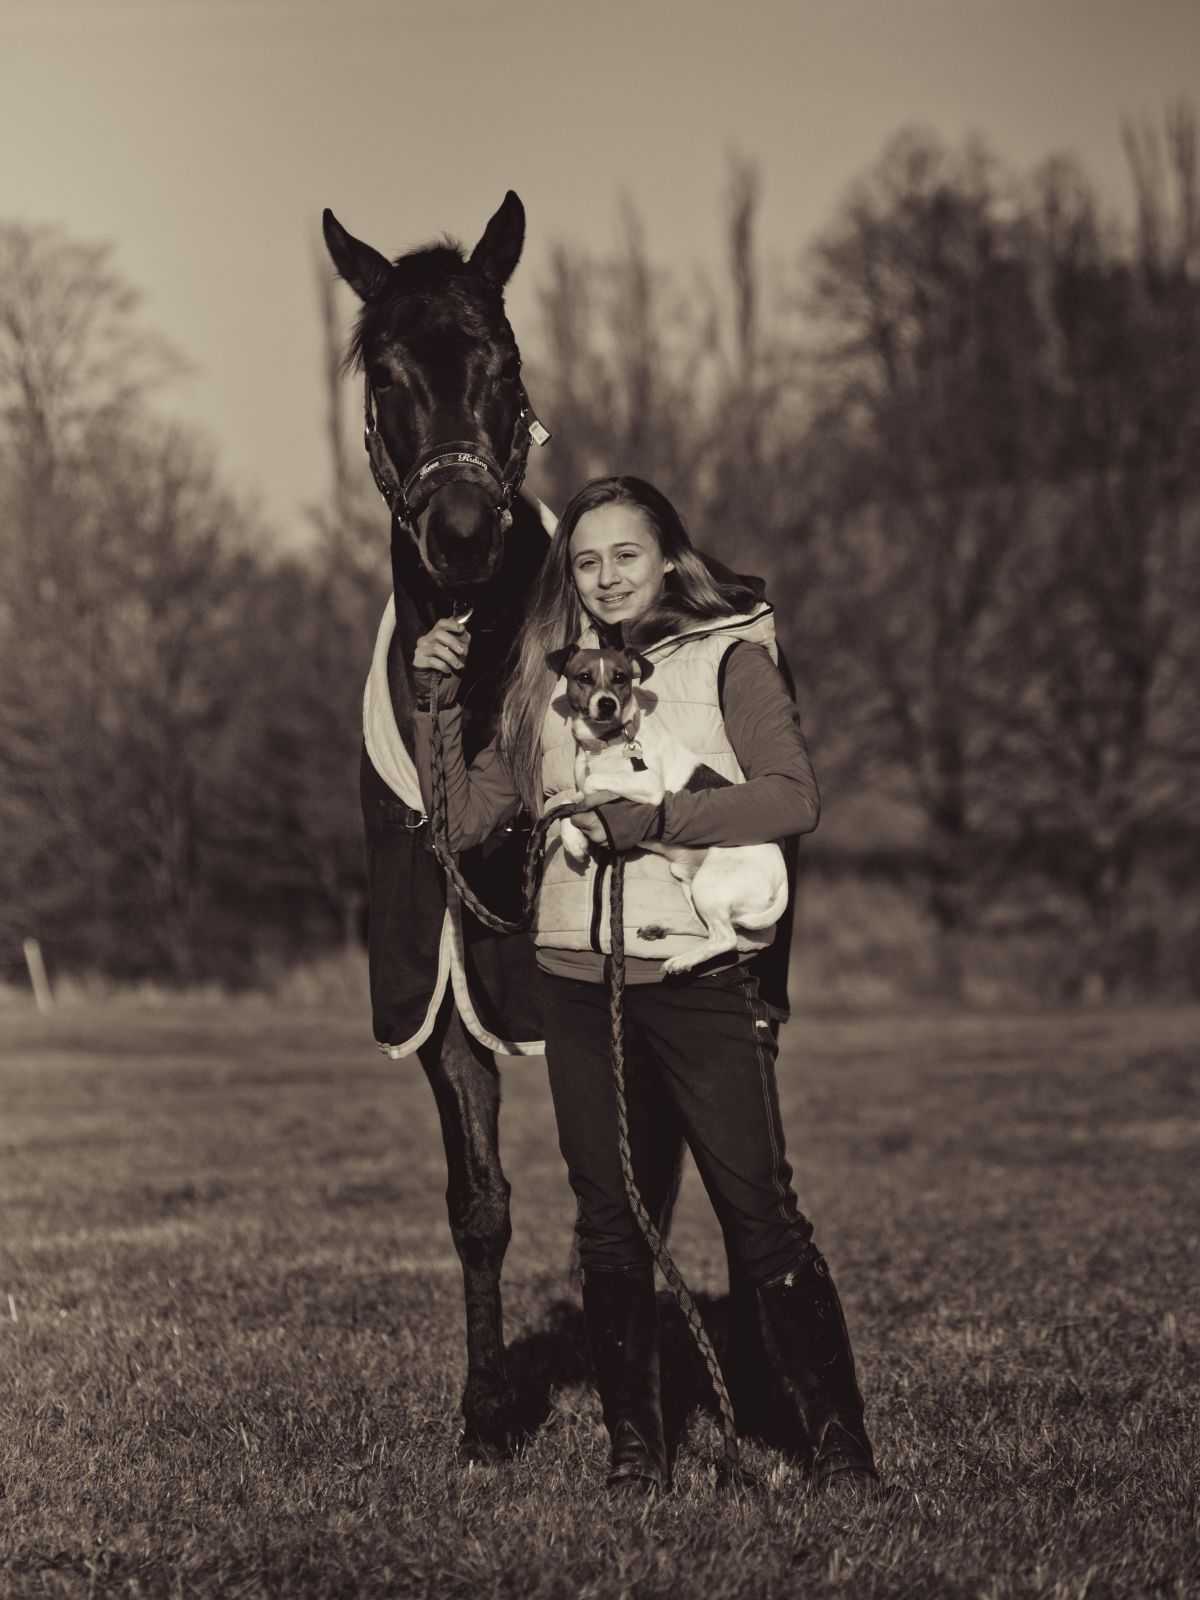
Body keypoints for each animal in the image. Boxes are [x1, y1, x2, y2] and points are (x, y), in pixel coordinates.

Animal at [545, 642, 788, 975]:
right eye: (584, 677)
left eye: (620, 677)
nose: (607, 704)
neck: (606, 743)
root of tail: (783, 880)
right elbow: (568, 804)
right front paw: (574, 842)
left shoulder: (649, 785)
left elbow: (589, 788)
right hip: (689, 879)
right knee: (706, 929)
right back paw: (663, 929)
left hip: (710, 884)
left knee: (725, 938)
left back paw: (681, 961)